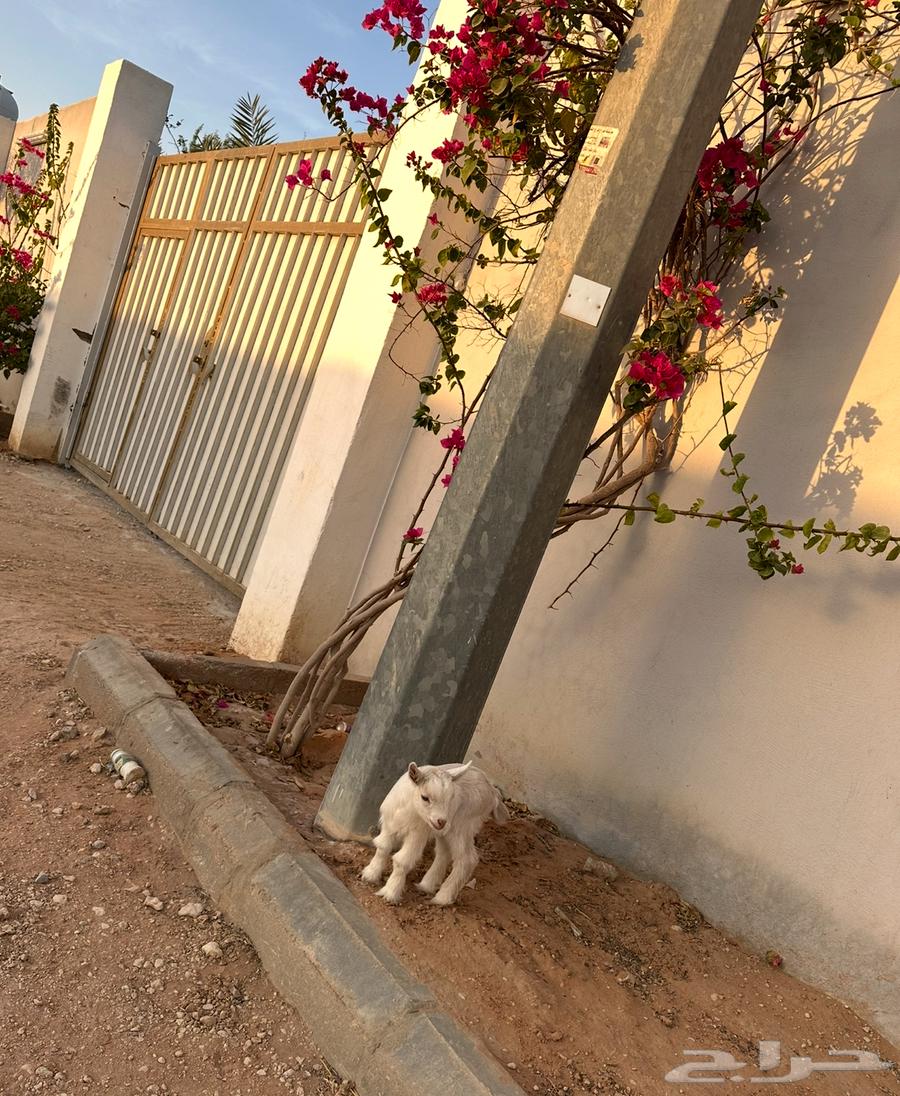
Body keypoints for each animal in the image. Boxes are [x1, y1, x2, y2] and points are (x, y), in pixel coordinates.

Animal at [361, 760, 509, 906]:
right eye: (424, 797)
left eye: (451, 798)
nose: (441, 821)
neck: (408, 809)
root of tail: (493, 791)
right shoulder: (389, 824)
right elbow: (382, 847)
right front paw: (370, 874)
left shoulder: (418, 834)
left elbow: (402, 861)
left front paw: (390, 893)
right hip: (445, 832)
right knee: (444, 853)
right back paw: (426, 885)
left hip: (462, 827)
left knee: (467, 859)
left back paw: (442, 898)